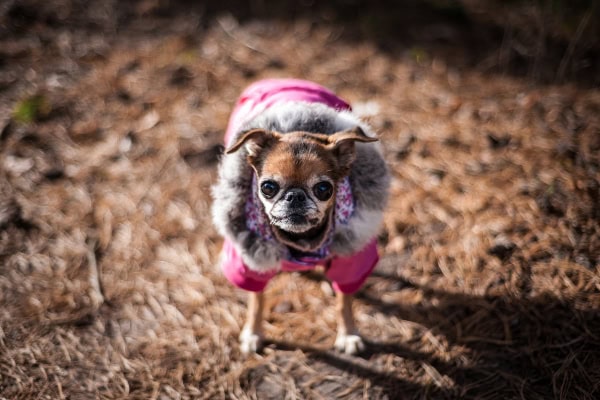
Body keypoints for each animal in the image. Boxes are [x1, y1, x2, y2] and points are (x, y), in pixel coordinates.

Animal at [213, 78, 392, 354]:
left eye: (324, 189)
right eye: (268, 187)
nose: (294, 196)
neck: (302, 241)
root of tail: (282, 80)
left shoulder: (351, 259)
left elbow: (345, 300)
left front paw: (348, 333)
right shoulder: (251, 264)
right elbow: (256, 300)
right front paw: (253, 332)